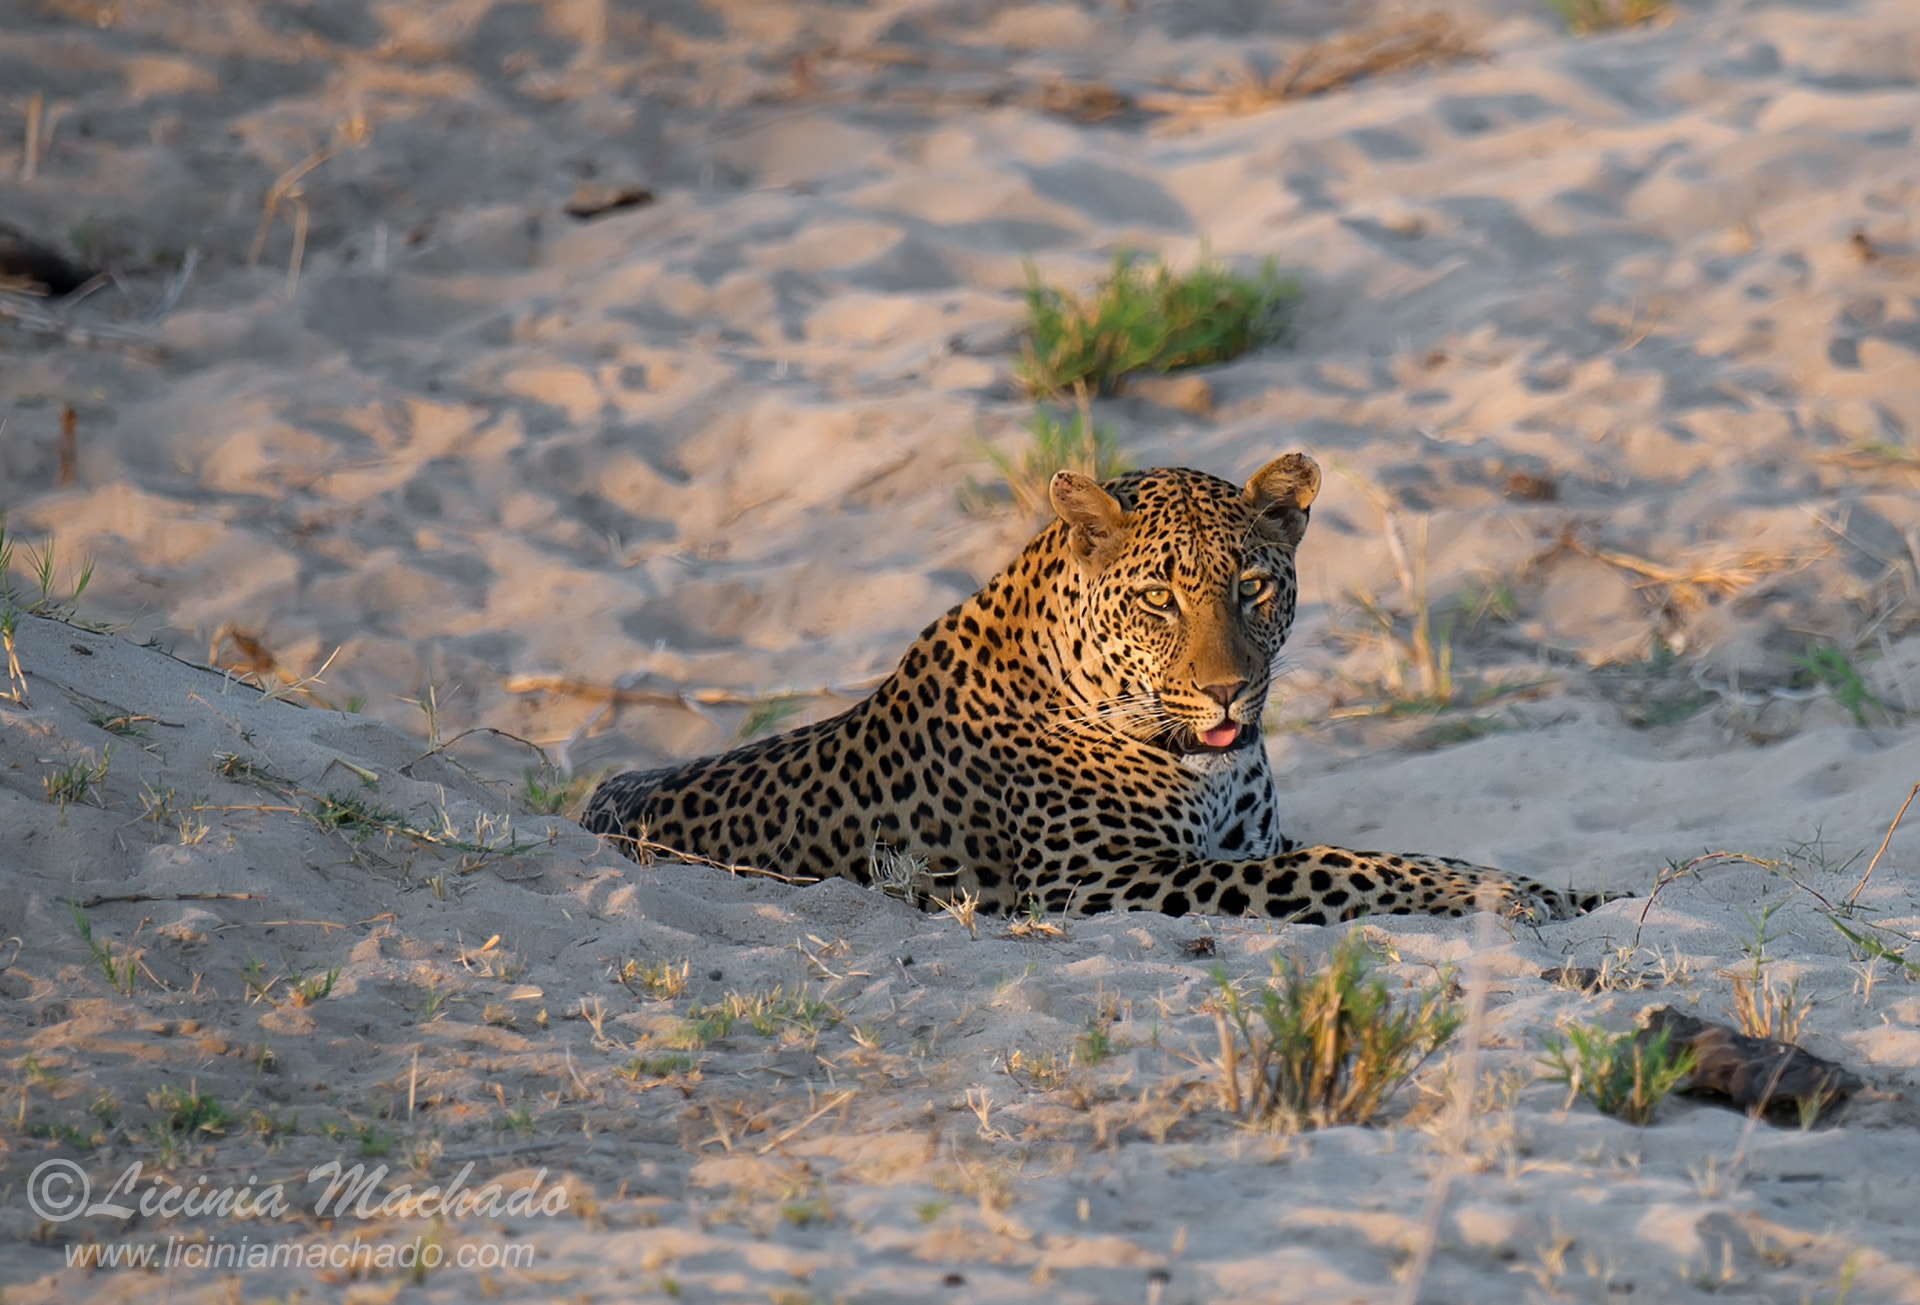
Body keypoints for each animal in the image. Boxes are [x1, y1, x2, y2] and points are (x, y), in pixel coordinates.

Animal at [584, 453, 1605, 924]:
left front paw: (1565, 892)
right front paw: (1502, 900)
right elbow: (1345, 868)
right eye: (1159, 598)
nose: (1230, 692)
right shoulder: (1105, 879)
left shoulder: (1250, 840)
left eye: (1253, 586)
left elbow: (1388, 852)